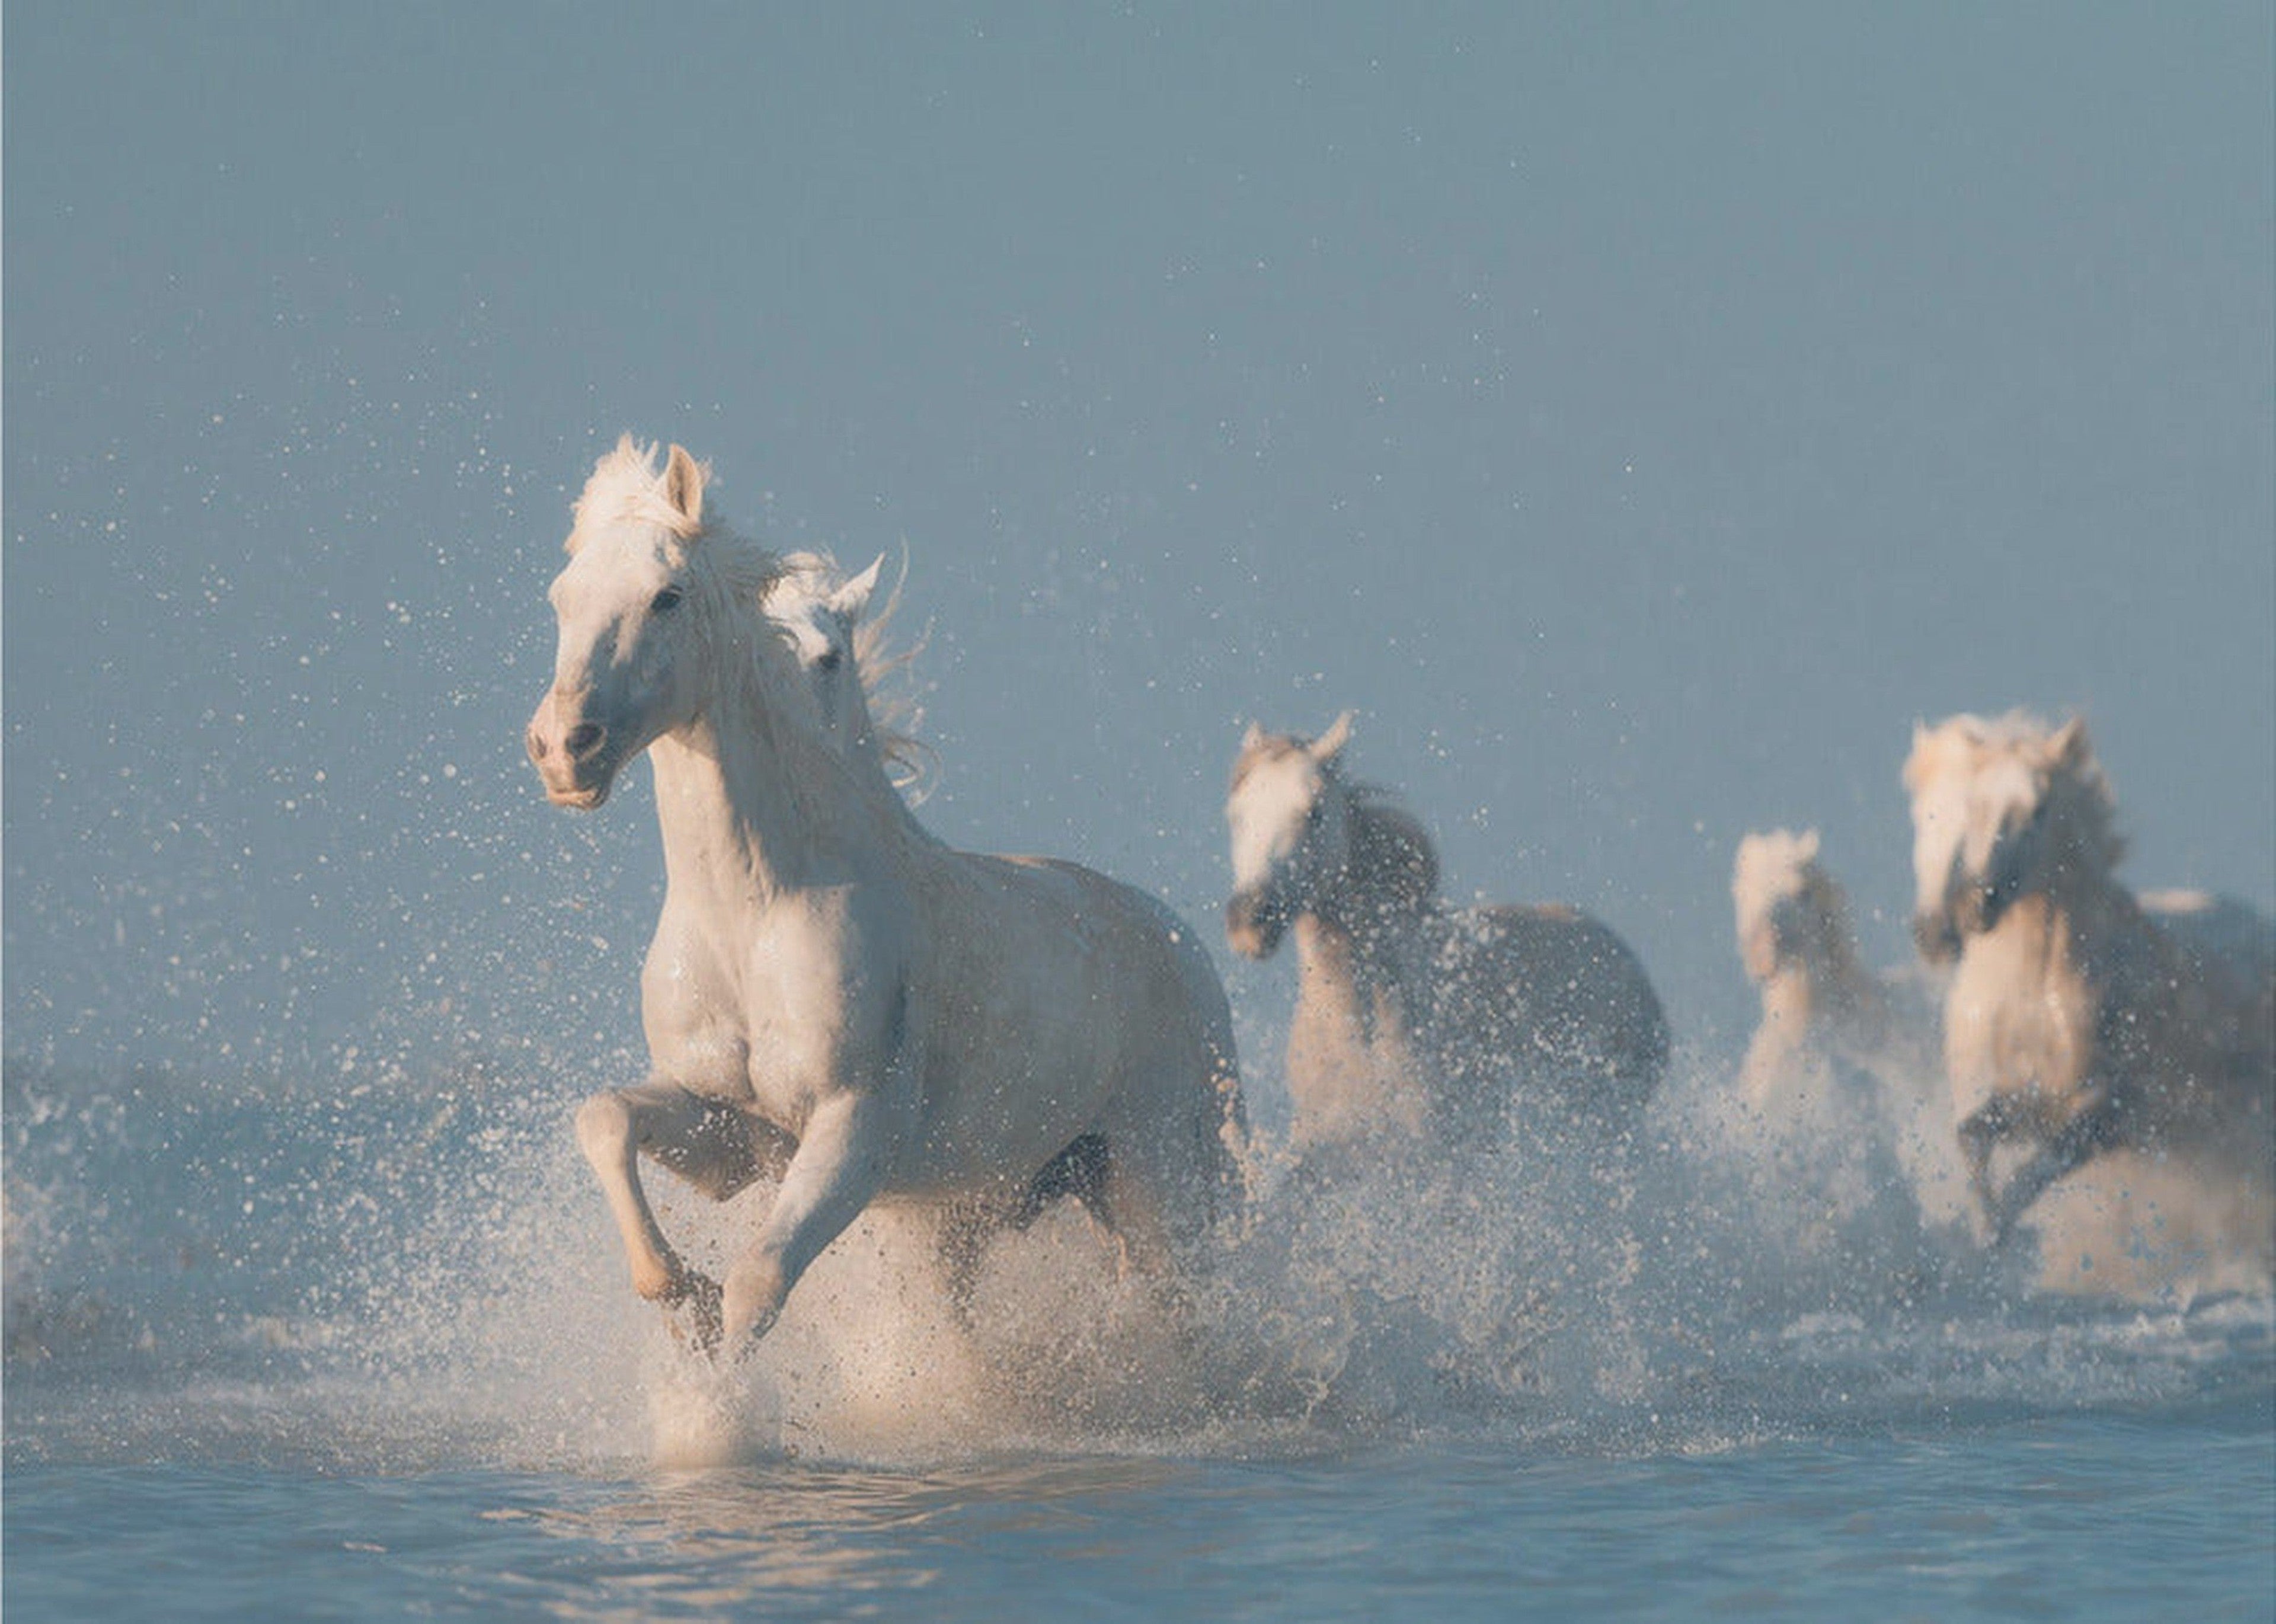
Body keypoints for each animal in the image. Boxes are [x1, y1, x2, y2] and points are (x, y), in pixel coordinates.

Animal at [526, 436, 1256, 1346]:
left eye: (666, 596)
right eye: (562, 598)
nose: (564, 750)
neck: (755, 912)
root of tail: (1183, 944)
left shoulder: (854, 1131)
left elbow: (759, 1282)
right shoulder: (732, 1130)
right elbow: (606, 1117)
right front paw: (677, 1291)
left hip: (1156, 1175)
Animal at [1903, 709, 2276, 1237]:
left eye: (2037, 810)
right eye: (1929, 814)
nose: (1969, 910)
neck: (2028, 991)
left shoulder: (2104, 1114)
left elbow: (2046, 1161)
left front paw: (2003, 1230)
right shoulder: (2010, 1098)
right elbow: (1973, 1137)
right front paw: (1987, 1230)